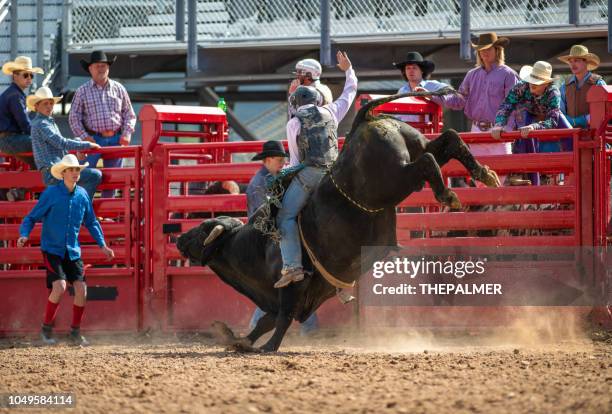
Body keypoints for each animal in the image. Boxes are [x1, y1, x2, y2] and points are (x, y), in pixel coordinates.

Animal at [175, 89, 500, 350]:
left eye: (201, 230)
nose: (178, 238)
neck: (254, 246)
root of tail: (361, 123)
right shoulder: (281, 296)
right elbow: (265, 320)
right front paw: (240, 341)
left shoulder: (291, 288)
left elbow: (280, 318)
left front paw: (268, 347)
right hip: (412, 147)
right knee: (448, 141)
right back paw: (483, 173)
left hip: (394, 180)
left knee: (427, 162)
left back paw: (449, 194)